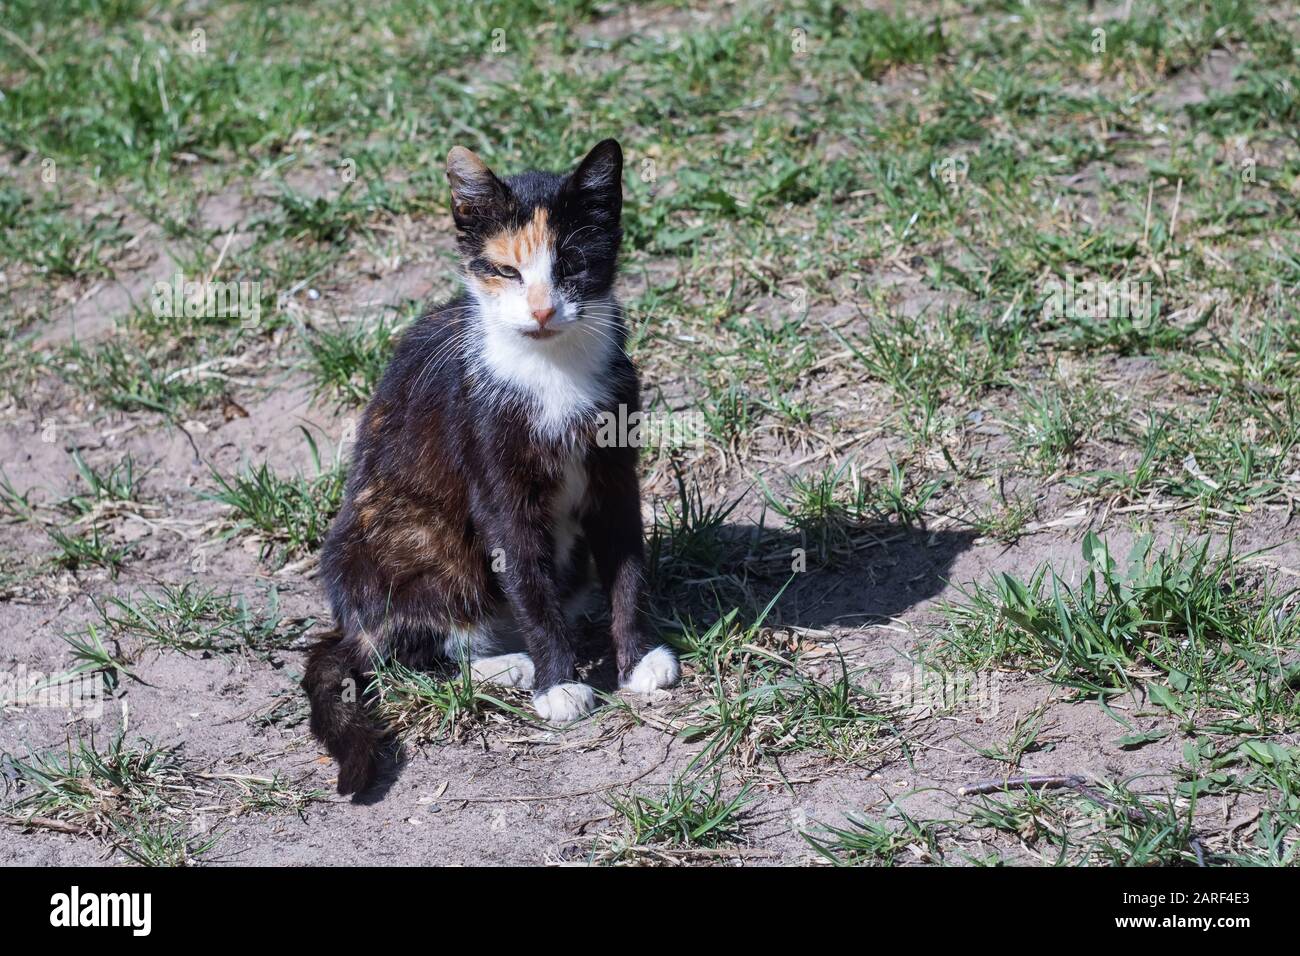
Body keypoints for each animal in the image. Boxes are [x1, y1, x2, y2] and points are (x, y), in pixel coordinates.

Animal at [302, 138, 681, 796]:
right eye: (507, 272)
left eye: (570, 265)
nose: (542, 310)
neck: (550, 369)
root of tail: (348, 623)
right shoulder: (495, 475)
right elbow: (526, 579)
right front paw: (559, 684)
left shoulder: (616, 470)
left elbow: (628, 564)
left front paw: (638, 657)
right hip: (412, 536)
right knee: (405, 654)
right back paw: (507, 666)